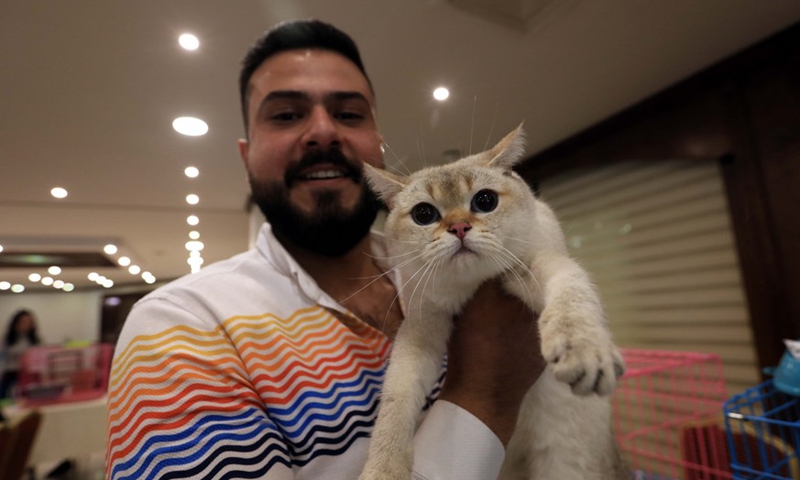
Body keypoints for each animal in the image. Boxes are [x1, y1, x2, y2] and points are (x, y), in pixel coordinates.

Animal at [360, 124, 628, 480]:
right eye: (424, 214)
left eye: (485, 201)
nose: (459, 227)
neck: (471, 286)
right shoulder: (422, 324)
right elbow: (396, 396)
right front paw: (383, 466)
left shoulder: (536, 264)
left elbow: (571, 291)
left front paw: (584, 349)